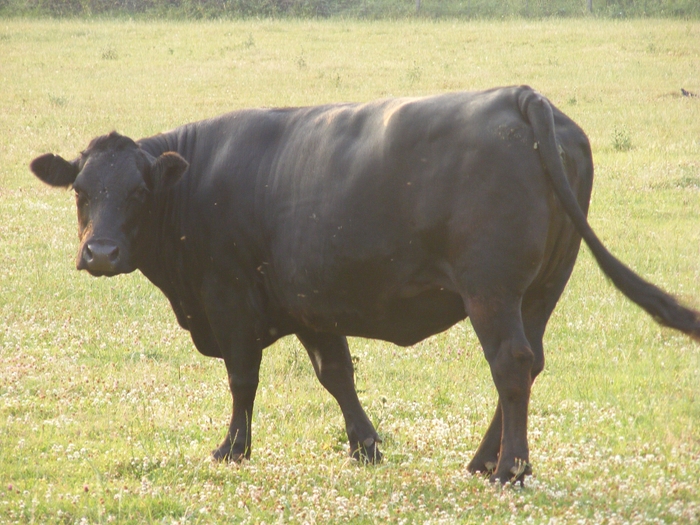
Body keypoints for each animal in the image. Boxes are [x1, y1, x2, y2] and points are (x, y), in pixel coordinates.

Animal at [30, 86, 700, 484]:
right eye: (80, 190)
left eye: (139, 192)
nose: (100, 253)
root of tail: (518, 95)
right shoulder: (307, 303)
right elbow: (336, 374)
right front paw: (366, 446)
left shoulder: (230, 297)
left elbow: (243, 379)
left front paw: (233, 450)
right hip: (543, 289)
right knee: (531, 361)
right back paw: (483, 460)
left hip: (493, 292)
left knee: (510, 364)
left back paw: (509, 469)